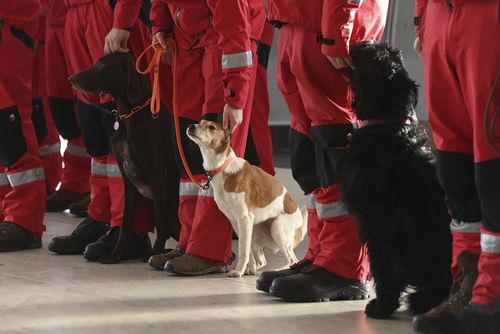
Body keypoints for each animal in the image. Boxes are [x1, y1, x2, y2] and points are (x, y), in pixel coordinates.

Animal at [69, 52, 180, 264]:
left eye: (102, 66)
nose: (71, 78)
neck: (130, 114)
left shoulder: (157, 175)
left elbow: (161, 224)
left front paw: (154, 253)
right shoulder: (127, 180)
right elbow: (126, 223)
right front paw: (115, 254)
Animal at [187, 120, 306, 276]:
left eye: (211, 127)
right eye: (200, 122)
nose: (191, 126)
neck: (223, 167)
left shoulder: (244, 218)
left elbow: (243, 251)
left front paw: (238, 271)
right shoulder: (237, 222)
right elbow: (247, 251)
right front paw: (244, 269)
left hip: (277, 227)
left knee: (292, 260)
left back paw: (276, 270)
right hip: (255, 229)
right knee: (262, 260)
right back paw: (253, 269)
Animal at [340, 41, 454, 318]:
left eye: (376, 55)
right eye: (389, 54)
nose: (366, 41)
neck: (386, 127)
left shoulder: (377, 221)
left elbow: (383, 268)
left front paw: (382, 306)